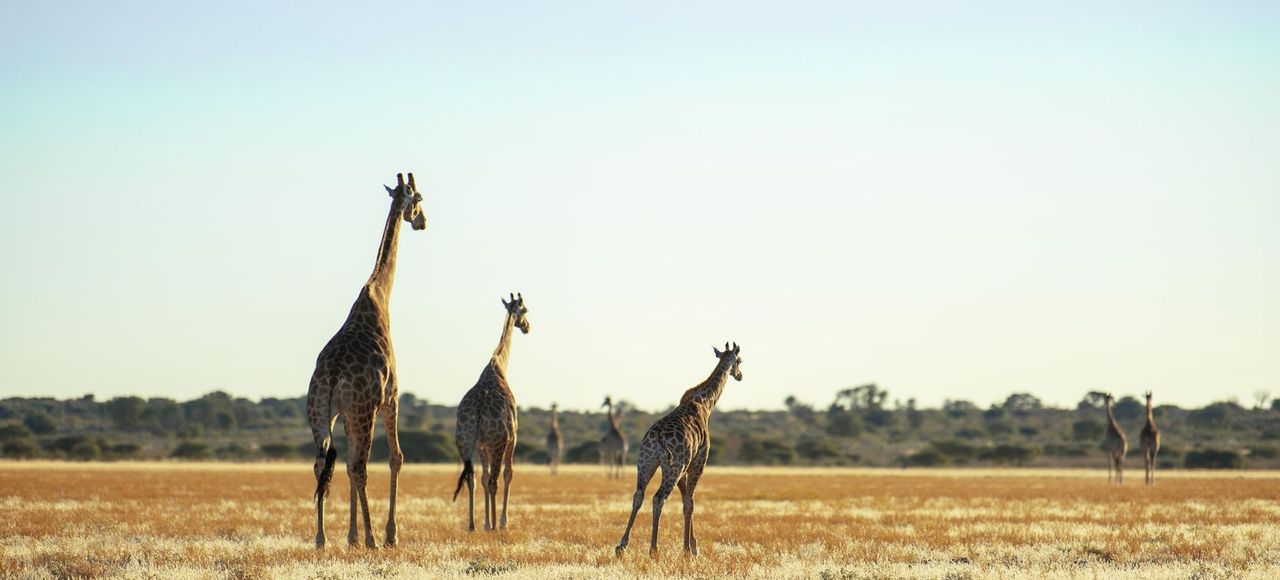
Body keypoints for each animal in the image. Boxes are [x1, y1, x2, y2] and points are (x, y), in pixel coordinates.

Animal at [306, 173, 427, 549]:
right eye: (419, 199)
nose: (422, 222)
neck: (379, 295)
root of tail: (331, 377)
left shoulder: (345, 414)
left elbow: (342, 466)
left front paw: (351, 536)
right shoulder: (391, 398)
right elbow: (396, 458)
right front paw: (388, 535)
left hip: (320, 412)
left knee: (322, 463)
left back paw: (321, 538)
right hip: (363, 411)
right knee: (360, 466)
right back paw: (374, 539)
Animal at [452, 293, 530, 532]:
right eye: (526, 310)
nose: (527, 327)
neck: (499, 366)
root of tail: (478, 412)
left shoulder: (481, 444)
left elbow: (484, 478)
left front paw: (486, 522)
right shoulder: (512, 437)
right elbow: (508, 474)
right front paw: (501, 522)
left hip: (465, 442)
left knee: (472, 478)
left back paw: (472, 525)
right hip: (498, 441)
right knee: (495, 478)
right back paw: (496, 526)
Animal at [615, 342, 743, 559]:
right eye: (740, 360)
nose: (740, 375)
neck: (706, 404)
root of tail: (656, 439)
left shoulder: (685, 467)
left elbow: (685, 501)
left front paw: (691, 547)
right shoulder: (698, 462)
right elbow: (690, 502)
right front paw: (689, 550)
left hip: (646, 463)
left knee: (638, 495)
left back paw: (621, 546)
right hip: (673, 467)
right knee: (658, 498)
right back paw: (654, 550)